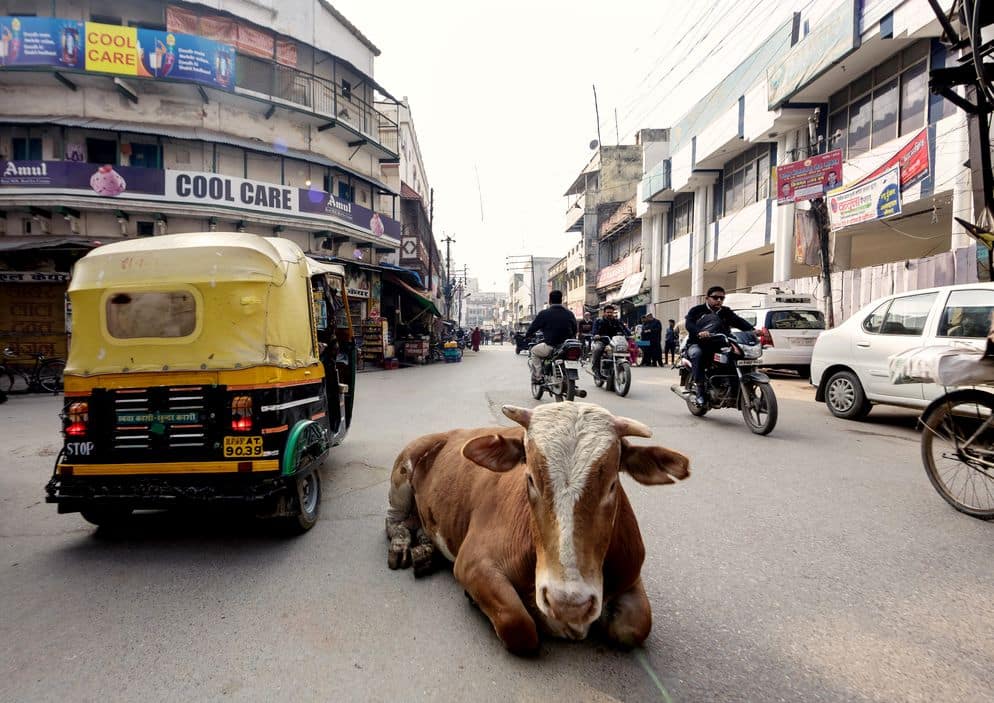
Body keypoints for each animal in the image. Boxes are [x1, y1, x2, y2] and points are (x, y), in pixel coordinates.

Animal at [388, 402, 688, 656]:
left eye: (612, 485)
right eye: (530, 478)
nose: (568, 604)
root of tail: (452, 432)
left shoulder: (632, 572)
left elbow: (636, 626)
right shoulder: (472, 562)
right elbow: (519, 626)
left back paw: (425, 551)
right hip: (403, 467)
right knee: (395, 520)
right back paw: (402, 544)